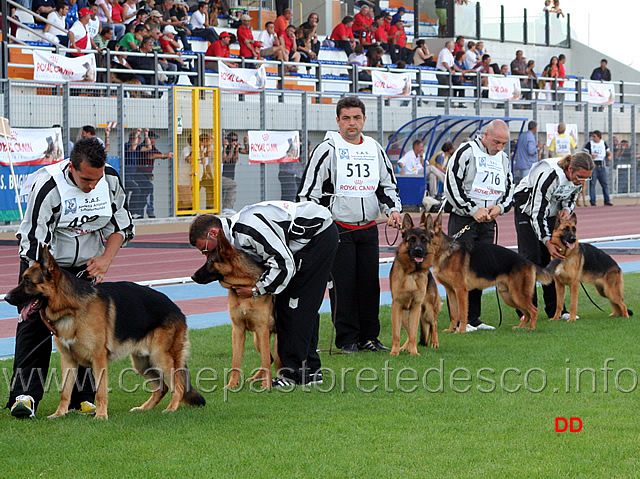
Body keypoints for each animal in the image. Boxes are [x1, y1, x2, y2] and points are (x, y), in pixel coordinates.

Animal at [4, 248, 205, 420]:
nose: (5, 298)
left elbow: (100, 390)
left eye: (28, 282)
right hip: (143, 362)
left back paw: (171, 409)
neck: (71, 309)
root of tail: (177, 309)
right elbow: (65, 392)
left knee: (178, 386)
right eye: (22, 279)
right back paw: (144, 408)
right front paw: (59, 414)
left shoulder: (98, 358)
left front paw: (101, 415)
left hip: (160, 358)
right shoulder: (67, 360)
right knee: (161, 387)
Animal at [191, 232, 278, 390]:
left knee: (270, 359)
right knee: (269, 358)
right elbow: (236, 361)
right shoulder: (238, 329)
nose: (192, 276)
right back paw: (255, 378)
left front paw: (266, 385)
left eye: (210, 261)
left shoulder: (262, 329)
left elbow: (265, 361)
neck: (242, 285)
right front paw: (232, 384)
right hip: (257, 339)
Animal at [390, 212, 440, 354]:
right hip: (404, 314)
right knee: (408, 331)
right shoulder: (397, 306)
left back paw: (434, 342)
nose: (418, 250)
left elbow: (413, 332)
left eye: (424, 240)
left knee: (433, 324)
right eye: (411, 239)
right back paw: (404, 347)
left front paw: (414, 352)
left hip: (427, 310)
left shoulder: (416, 307)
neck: (411, 273)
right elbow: (397, 334)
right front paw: (394, 352)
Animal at [424, 215, 556, 334]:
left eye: (423, 239)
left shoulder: (461, 291)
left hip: (517, 295)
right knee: (527, 313)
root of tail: (529, 263)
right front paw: (451, 329)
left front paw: (461, 331)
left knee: (533, 310)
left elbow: (462, 313)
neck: (444, 251)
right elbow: (454, 314)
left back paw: (531, 328)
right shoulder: (451, 291)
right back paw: (521, 328)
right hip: (509, 296)